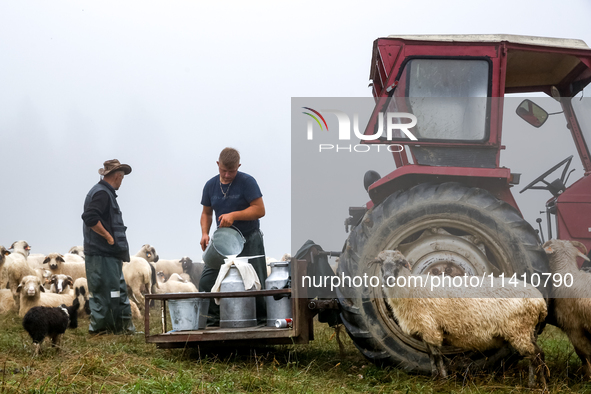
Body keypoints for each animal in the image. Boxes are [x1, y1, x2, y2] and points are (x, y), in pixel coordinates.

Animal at [376, 249, 548, 388]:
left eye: (399, 263)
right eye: (381, 263)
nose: (387, 278)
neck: (411, 289)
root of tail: (540, 302)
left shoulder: (431, 328)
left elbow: (437, 356)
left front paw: (443, 379)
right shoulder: (425, 330)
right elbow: (431, 356)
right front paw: (435, 377)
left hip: (519, 330)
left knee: (536, 355)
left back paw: (538, 385)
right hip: (528, 331)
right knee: (537, 354)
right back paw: (538, 382)